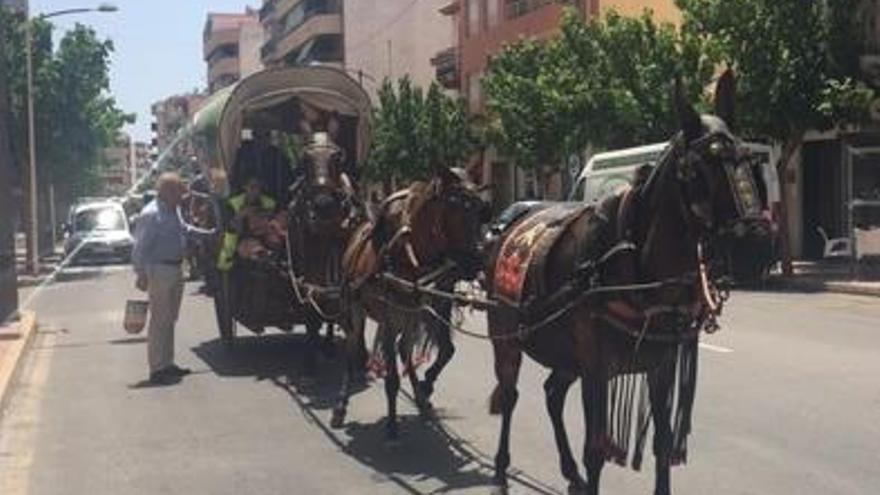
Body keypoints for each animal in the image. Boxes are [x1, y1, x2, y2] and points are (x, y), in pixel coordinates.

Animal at [330, 169, 492, 440]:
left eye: (481, 209)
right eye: (453, 207)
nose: (475, 263)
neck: (408, 253)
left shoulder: (429, 307)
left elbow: (445, 350)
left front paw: (425, 386)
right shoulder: (388, 315)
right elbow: (392, 378)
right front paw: (392, 427)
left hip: (408, 316)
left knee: (404, 349)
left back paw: (420, 396)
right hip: (354, 307)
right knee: (352, 348)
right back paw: (341, 405)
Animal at [482, 71, 764, 494]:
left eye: (747, 160)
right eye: (698, 170)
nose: (756, 242)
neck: (637, 266)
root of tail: (509, 229)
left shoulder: (660, 367)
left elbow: (662, 443)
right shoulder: (597, 369)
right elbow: (596, 449)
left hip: (566, 357)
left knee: (551, 395)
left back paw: (570, 472)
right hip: (507, 339)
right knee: (511, 394)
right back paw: (501, 467)